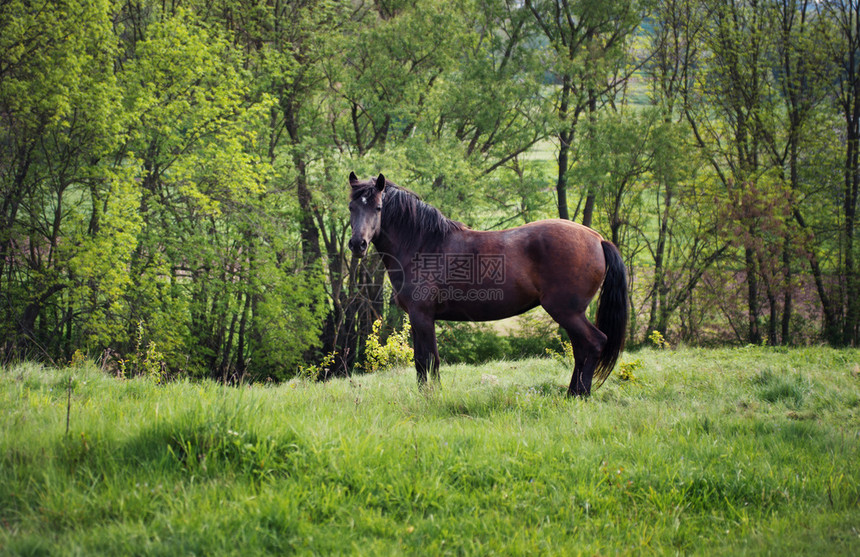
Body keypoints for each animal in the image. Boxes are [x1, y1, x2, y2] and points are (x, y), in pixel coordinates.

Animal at [346, 172, 628, 394]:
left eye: (378, 208)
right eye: (351, 208)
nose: (358, 244)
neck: (423, 245)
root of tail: (597, 238)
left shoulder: (422, 316)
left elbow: (428, 360)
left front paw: (432, 397)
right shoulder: (418, 319)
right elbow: (421, 361)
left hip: (566, 311)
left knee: (593, 343)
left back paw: (580, 395)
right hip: (570, 314)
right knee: (581, 349)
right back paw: (571, 394)